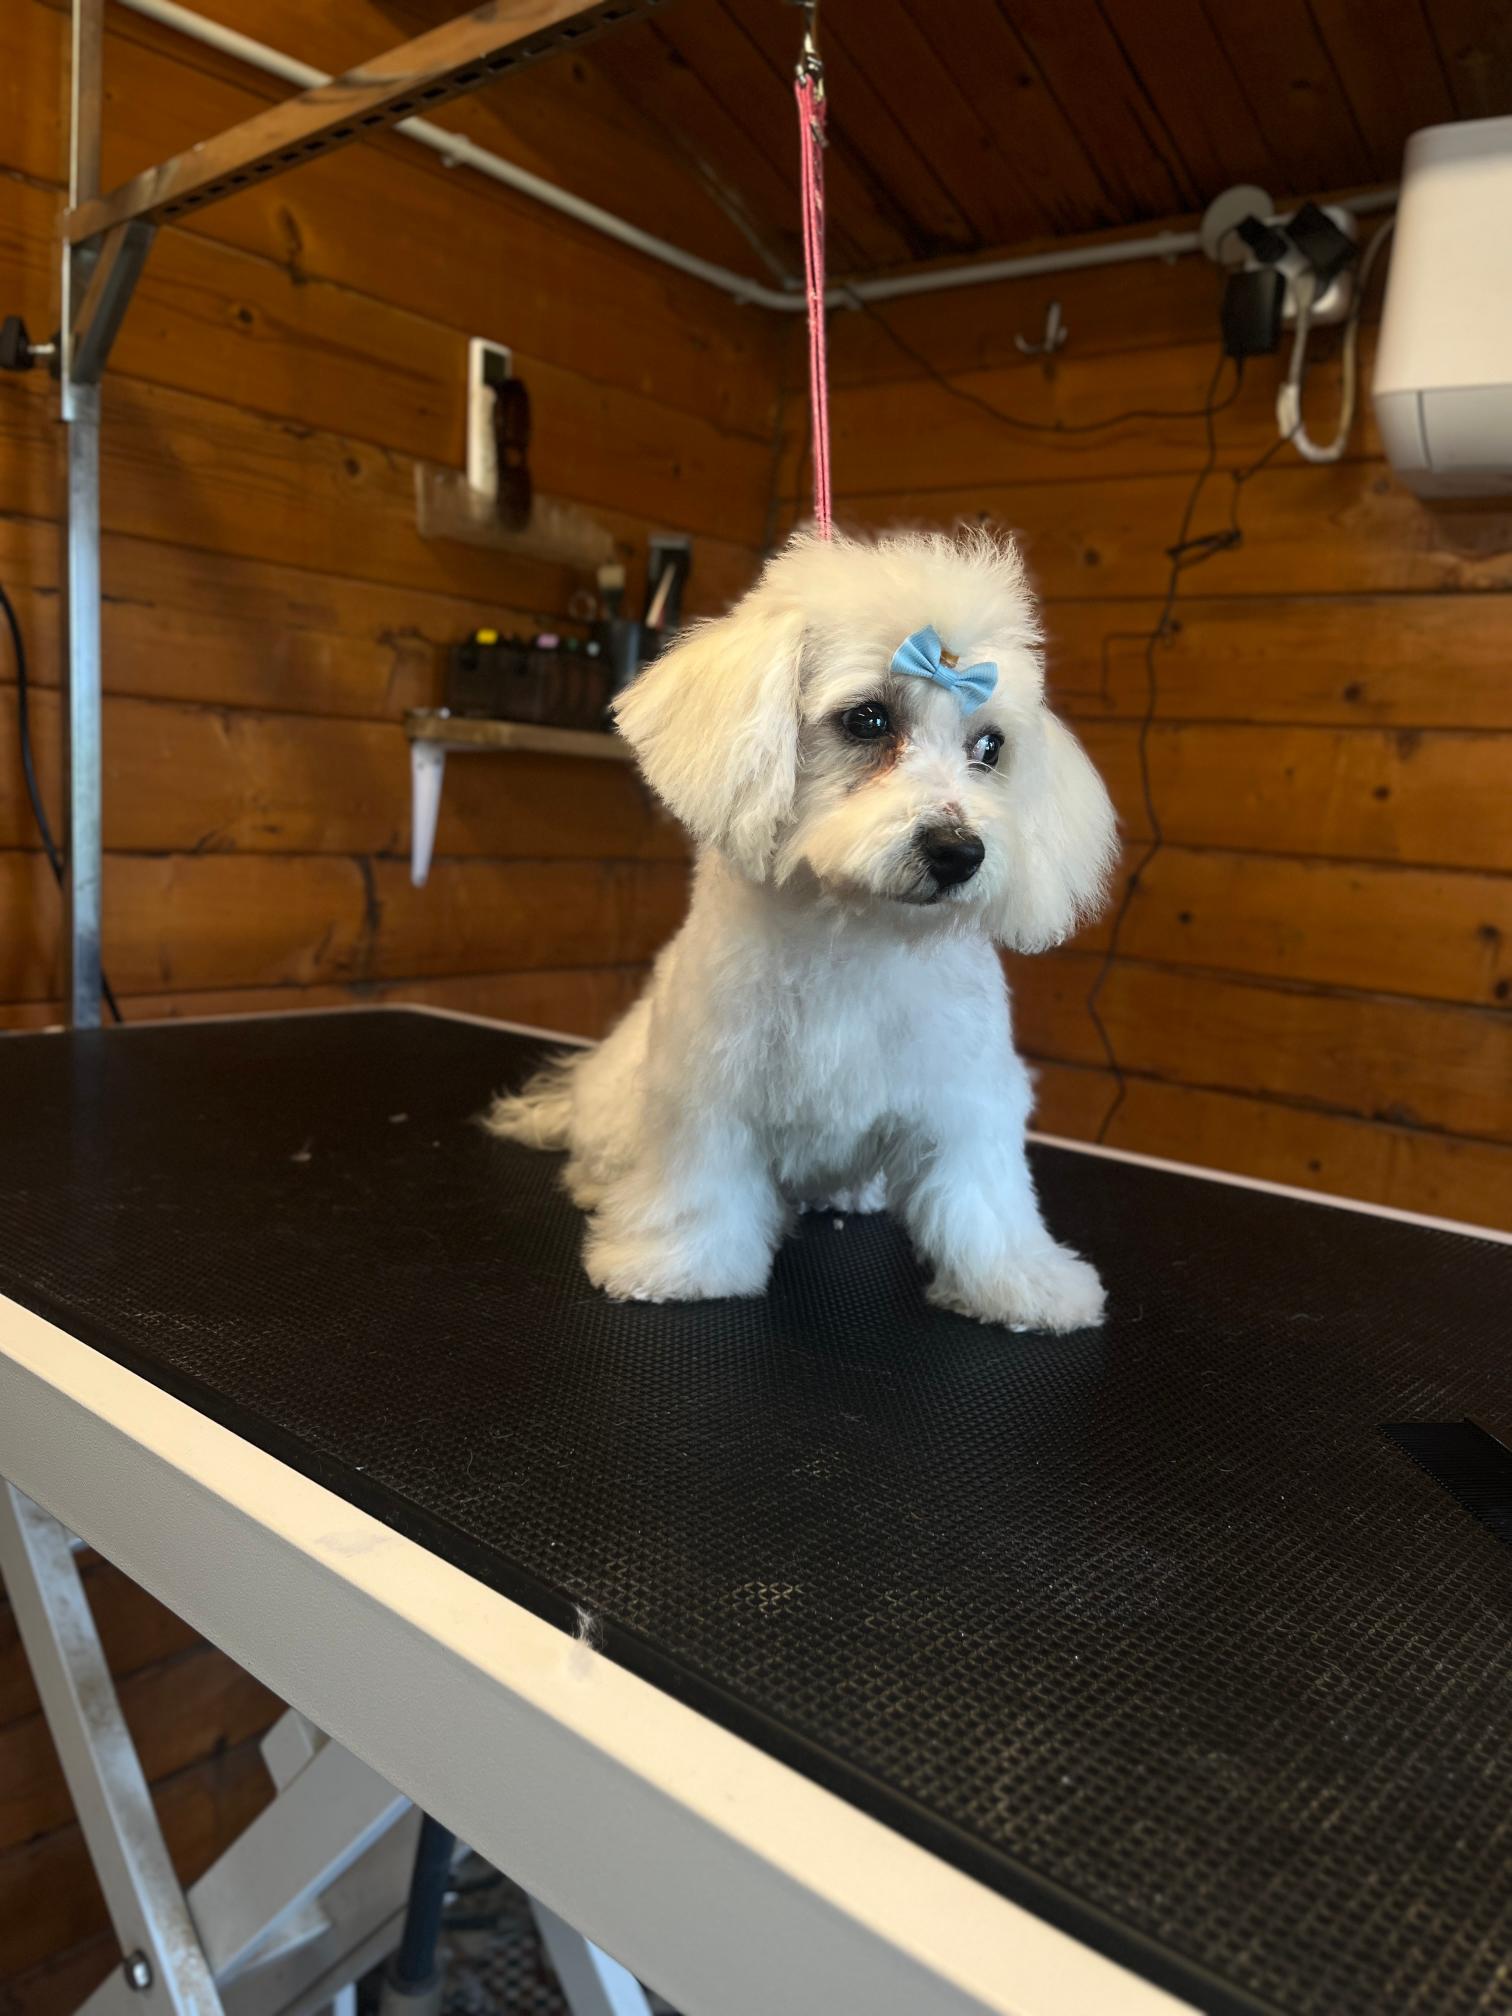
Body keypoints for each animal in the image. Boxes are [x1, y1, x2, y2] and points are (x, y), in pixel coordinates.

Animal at [490, 527, 1118, 1332]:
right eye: (867, 719)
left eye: (990, 748)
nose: (958, 852)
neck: (853, 932)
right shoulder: (709, 1090)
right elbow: (703, 1187)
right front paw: (681, 1265)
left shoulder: (965, 1096)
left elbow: (987, 1202)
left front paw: (1023, 1283)